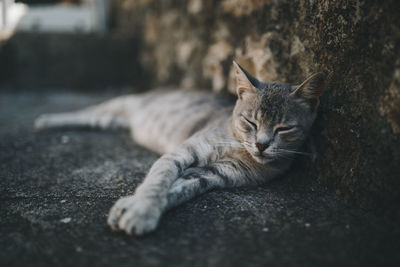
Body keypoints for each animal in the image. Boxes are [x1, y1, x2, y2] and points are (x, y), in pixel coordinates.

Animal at [34, 62, 324, 237]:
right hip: (120, 104)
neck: (238, 147)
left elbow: (178, 189)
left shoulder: (214, 175)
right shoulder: (181, 153)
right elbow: (158, 181)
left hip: (113, 120)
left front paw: (131, 207)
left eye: (283, 128)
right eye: (250, 122)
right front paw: (142, 211)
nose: (261, 144)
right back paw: (44, 120)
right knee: (85, 111)